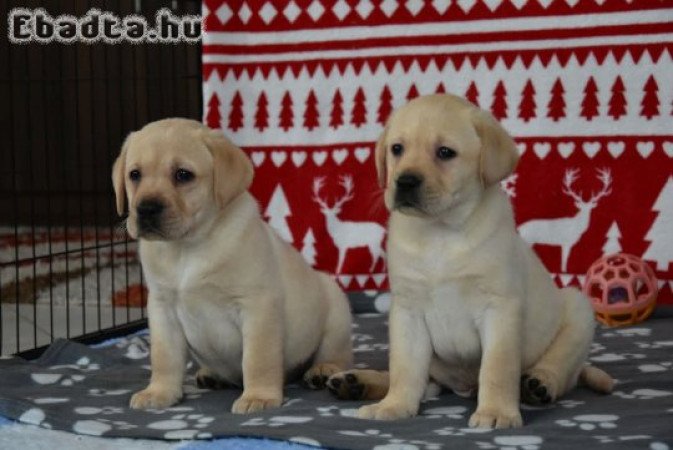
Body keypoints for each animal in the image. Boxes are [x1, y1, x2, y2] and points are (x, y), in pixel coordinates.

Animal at [111, 118, 352, 414]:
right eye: (135, 175)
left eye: (183, 175)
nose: (146, 209)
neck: (187, 248)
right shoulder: (162, 308)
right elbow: (164, 358)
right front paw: (159, 392)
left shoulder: (257, 306)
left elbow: (258, 359)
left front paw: (259, 397)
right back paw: (211, 374)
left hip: (336, 313)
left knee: (337, 354)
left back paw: (323, 369)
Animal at [326, 95, 616, 428]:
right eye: (397, 149)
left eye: (445, 152)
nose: (405, 181)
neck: (440, 233)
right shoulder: (407, 311)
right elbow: (404, 368)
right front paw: (394, 405)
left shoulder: (499, 308)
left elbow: (497, 368)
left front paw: (496, 412)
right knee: (422, 381)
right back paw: (356, 382)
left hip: (579, 312)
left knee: (560, 367)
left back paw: (538, 384)